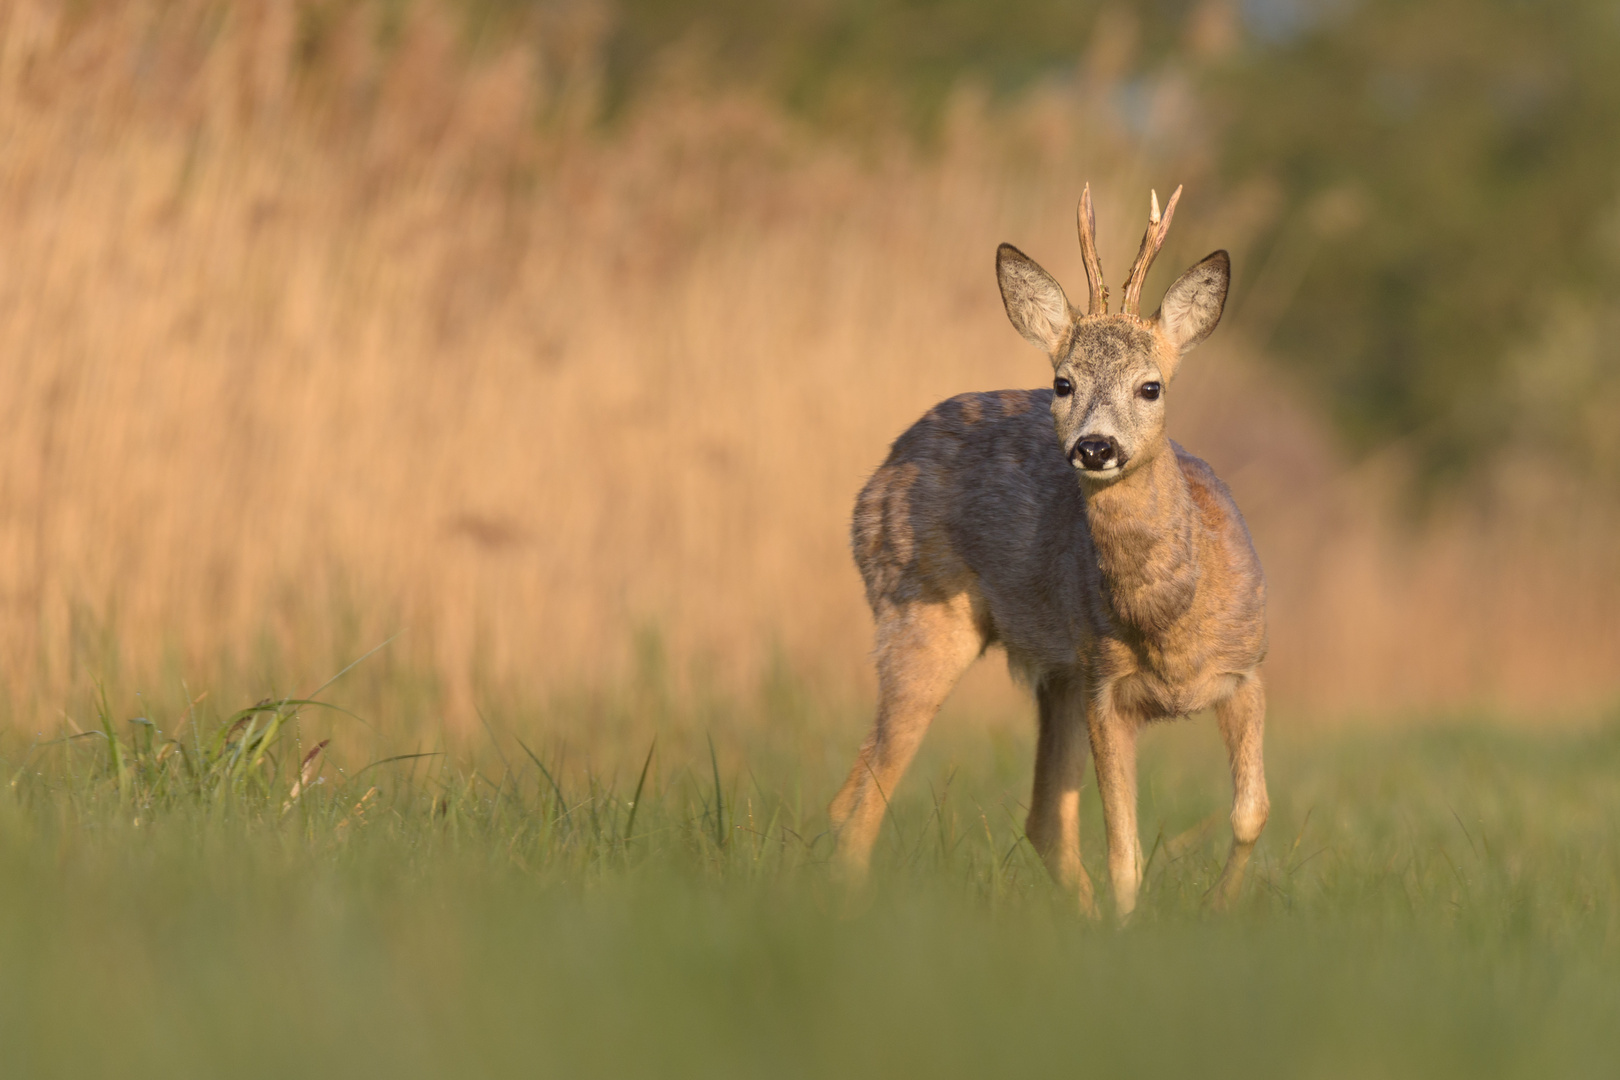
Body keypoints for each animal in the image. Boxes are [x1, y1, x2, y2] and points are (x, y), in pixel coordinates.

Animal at [835, 186, 1263, 913]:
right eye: (1063, 383)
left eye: (1152, 385)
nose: (1095, 447)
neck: (1172, 620)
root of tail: (878, 477)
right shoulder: (1107, 687)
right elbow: (1124, 852)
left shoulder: (1247, 667)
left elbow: (1249, 815)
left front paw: (1220, 910)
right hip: (920, 615)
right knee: (868, 794)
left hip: (1055, 673)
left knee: (1040, 821)